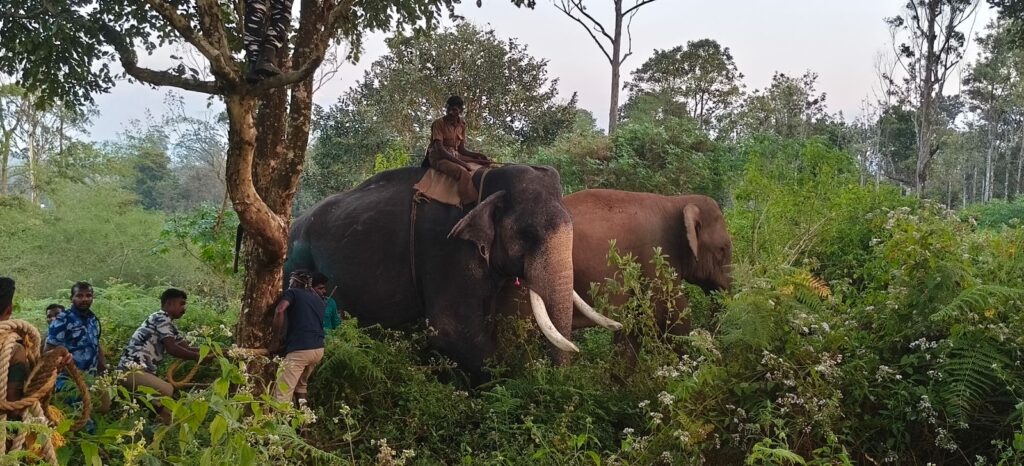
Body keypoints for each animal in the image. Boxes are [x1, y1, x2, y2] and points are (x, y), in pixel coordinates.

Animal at [282, 165, 614, 380]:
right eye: (528, 235)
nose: (560, 380)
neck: (486, 180)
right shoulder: (445, 251)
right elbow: (451, 331)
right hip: (294, 258)